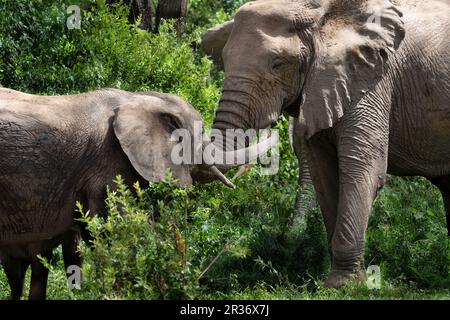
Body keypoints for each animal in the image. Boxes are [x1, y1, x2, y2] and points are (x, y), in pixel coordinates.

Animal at [202, 0, 450, 288]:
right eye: (224, 61)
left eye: (277, 63)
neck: (319, 14)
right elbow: (324, 175)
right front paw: (340, 282)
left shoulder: (372, 78)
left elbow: (362, 170)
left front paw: (343, 285)